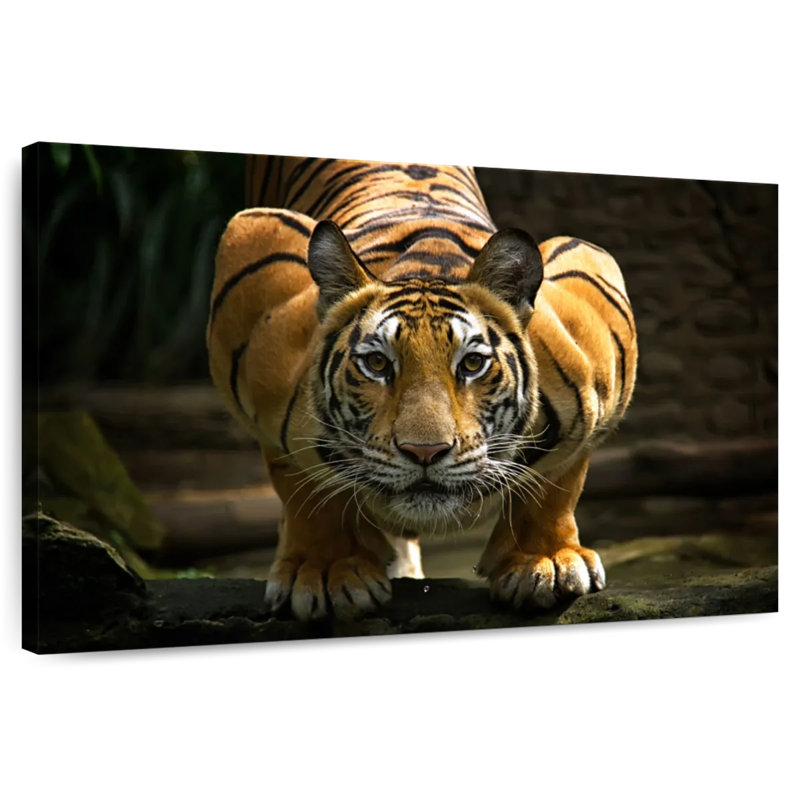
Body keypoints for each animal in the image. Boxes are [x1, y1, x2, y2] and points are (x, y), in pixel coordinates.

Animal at [207, 156, 637, 622]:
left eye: (472, 364)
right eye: (377, 363)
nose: (425, 452)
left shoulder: (591, 283)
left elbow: (558, 479)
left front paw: (545, 560)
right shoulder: (255, 258)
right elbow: (306, 486)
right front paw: (325, 569)